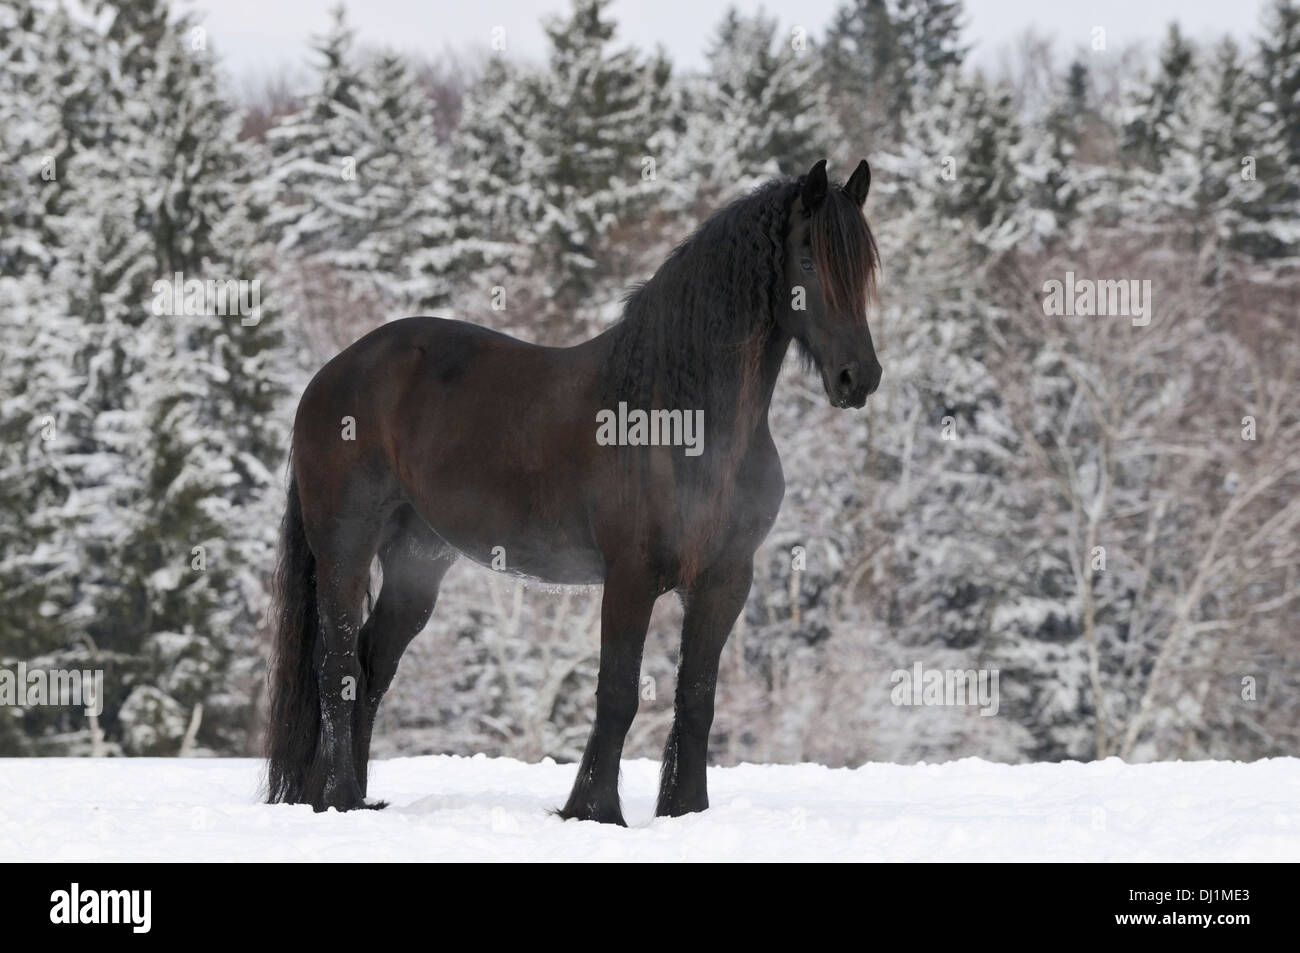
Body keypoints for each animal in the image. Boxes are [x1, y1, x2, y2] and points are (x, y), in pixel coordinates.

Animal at [265, 159, 883, 821]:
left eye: (865, 269)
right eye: (809, 261)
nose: (859, 377)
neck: (682, 416)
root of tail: (334, 372)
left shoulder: (724, 580)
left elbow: (697, 698)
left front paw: (684, 811)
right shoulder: (631, 576)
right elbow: (617, 694)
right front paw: (594, 810)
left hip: (416, 562)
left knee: (372, 664)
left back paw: (354, 798)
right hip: (345, 550)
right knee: (336, 665)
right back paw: (339, 799)